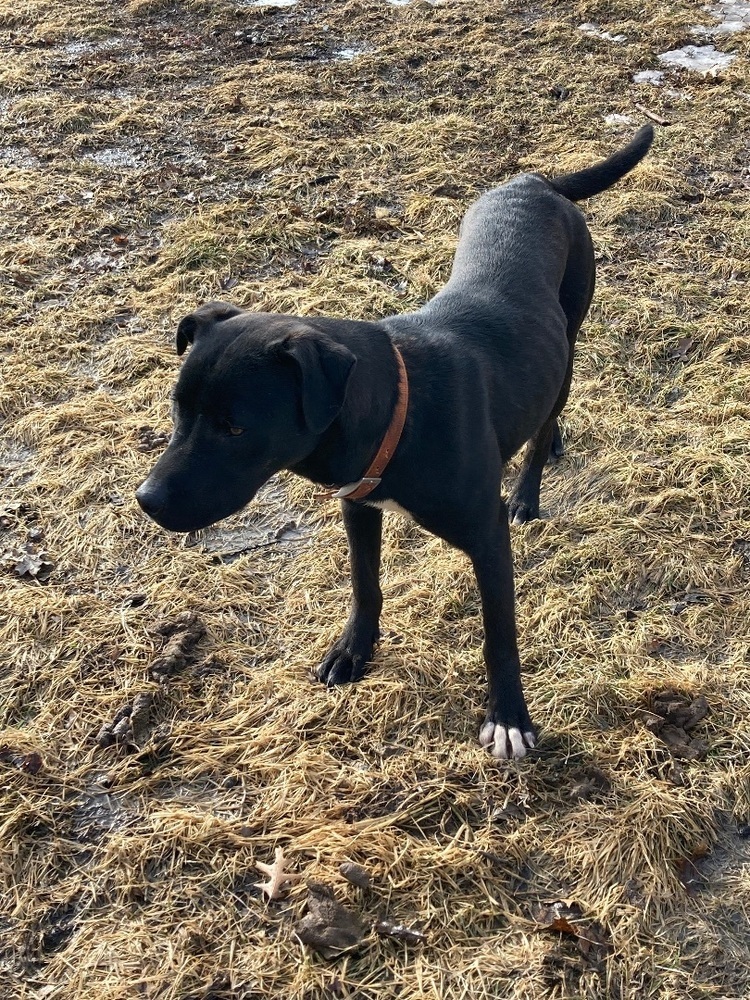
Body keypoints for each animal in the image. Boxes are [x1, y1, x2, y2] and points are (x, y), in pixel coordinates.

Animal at [138, 131, 656, 756]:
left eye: (234, 427)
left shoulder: (487, 538)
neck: (400, 413)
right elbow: (365, 585)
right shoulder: (357, 506)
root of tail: (533, 180)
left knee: (542, 422)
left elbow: (499, 635)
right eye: (177, 408)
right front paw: (352, 652)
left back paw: (528, 492)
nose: (146, 500)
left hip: (569, 339)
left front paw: (509, 715)